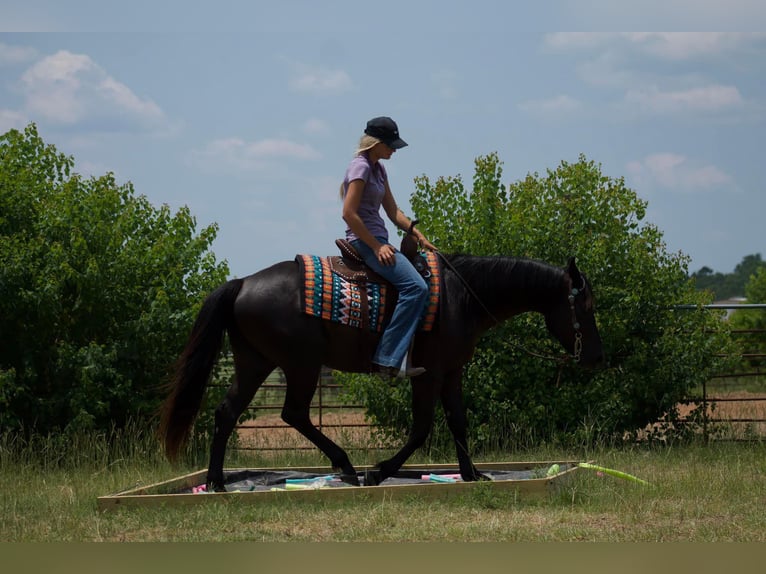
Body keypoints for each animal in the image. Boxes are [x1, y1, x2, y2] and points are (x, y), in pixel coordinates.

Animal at [160, 252, 608, 490]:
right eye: (585, 306)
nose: (596, 358)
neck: (460, 298)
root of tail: (242, 282)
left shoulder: (452, 373)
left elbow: (458, 421)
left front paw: (472, 474)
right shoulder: (428, 373)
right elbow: (423, 427)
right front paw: (379, 471)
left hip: (255, 362)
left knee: (228, 412)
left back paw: (217, 482)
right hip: (300, 363)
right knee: (294, 414)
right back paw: (345, 467)